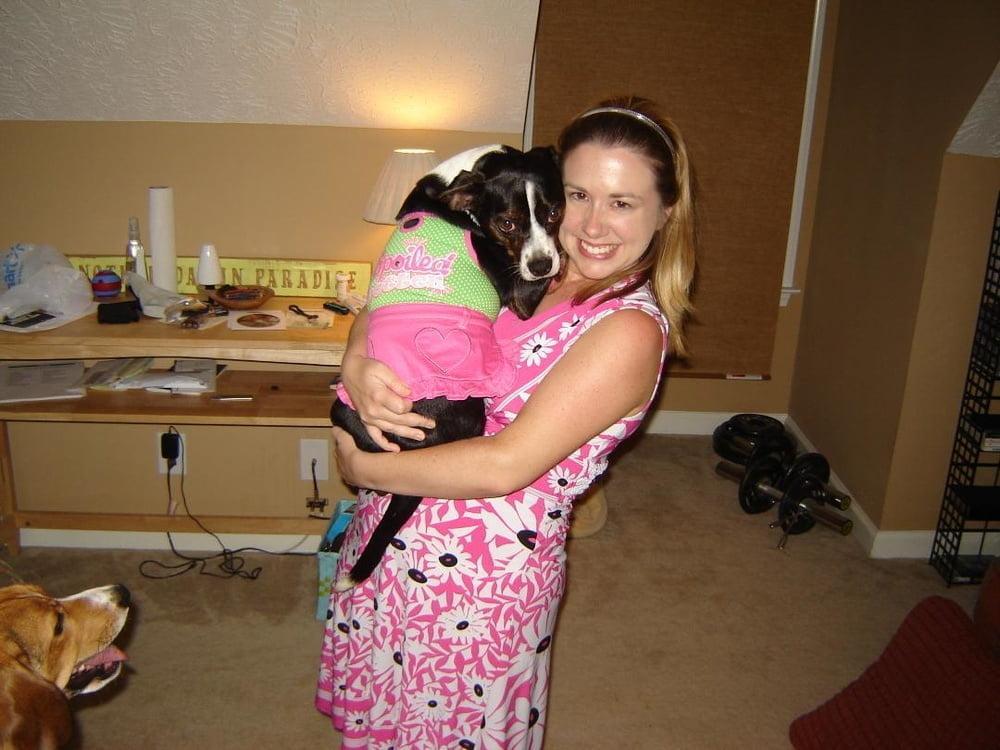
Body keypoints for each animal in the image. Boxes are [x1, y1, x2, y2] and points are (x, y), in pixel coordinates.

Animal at [331, 144, 564, 590]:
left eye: (555, 212)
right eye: (507, 224)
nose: (543, 265)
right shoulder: (519, 292)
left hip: (343, 410)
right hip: (472, 411)